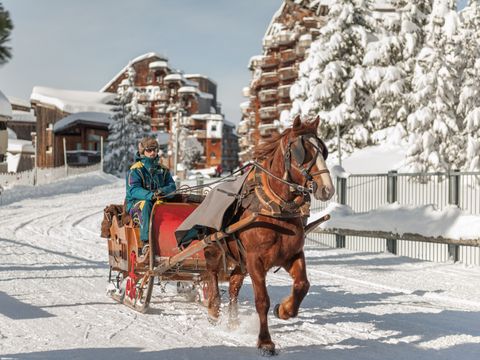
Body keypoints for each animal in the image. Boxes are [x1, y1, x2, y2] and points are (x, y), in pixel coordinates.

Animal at [202, 116, 334, 354]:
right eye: (302, 150)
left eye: (323, 150)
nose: (327, 189)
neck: (275, 209)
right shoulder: (255, 260)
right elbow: (261, 300)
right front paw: (265, 341)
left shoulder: (292, 254)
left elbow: (302, 285)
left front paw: (284, 310)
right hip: (214, 248)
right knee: (212, 273)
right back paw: (214, 309)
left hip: (241, 261)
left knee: (233, 284)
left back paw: (233, 321)